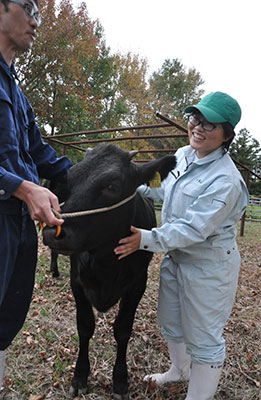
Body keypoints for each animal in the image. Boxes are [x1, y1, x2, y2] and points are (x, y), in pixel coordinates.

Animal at [42, 145, 176, 400]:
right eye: (69, 182)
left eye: (112, 186)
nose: (53, 231)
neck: (106, 262)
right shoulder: (78, 282)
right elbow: (85, 326)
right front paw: (80, 376)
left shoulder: (137, 284)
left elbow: (123, 330)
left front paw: (120, 381)